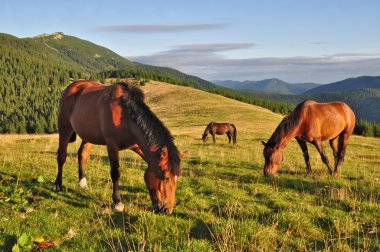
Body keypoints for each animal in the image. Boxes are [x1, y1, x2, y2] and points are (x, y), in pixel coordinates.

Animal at [54, 79, 184, 214]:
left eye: (177, 178)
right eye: (166, 178)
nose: (167, 210)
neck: (125, 115)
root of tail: (71, 87)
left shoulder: (136, 145)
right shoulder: (112, 144)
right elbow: (115, 172)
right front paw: (117, 202)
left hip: (88, 136)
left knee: (82, 155)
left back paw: (83, 183)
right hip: (65, 129)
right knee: (61, 157)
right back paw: (58, 185)